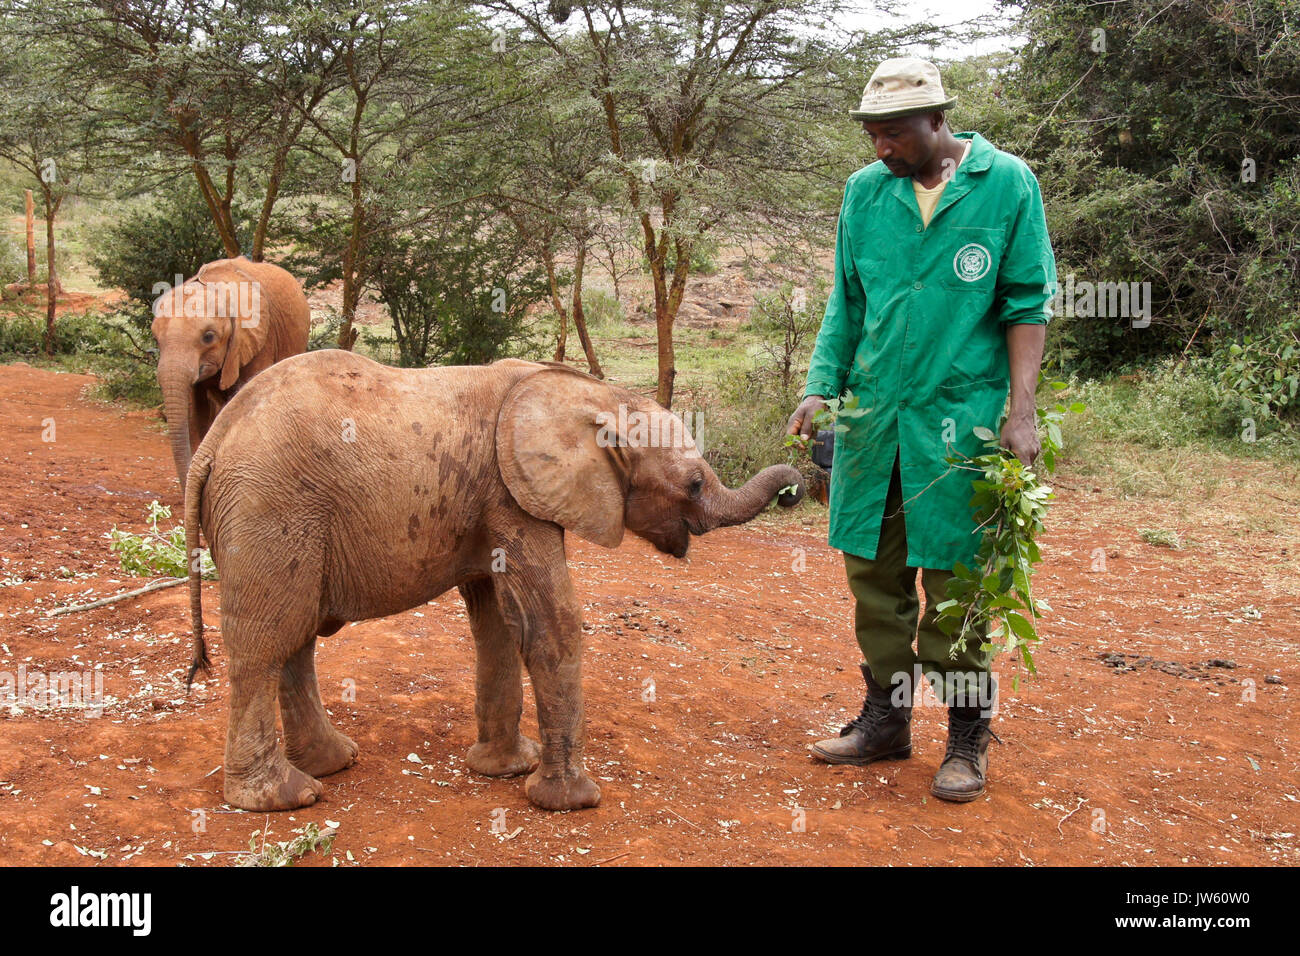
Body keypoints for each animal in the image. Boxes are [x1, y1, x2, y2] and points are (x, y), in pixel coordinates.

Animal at [185, 351, 800, 816]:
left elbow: (500, 624)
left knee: (294, 640)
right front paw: (571, 801)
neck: (596, 396)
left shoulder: (489, 502)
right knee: (267, 644)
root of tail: (211, 444)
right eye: (693, 484)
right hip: (269, 508)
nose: (796, 489)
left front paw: (505, 769)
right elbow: (551, 622)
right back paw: (282, 798)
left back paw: (331, 765)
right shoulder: (513, 496)